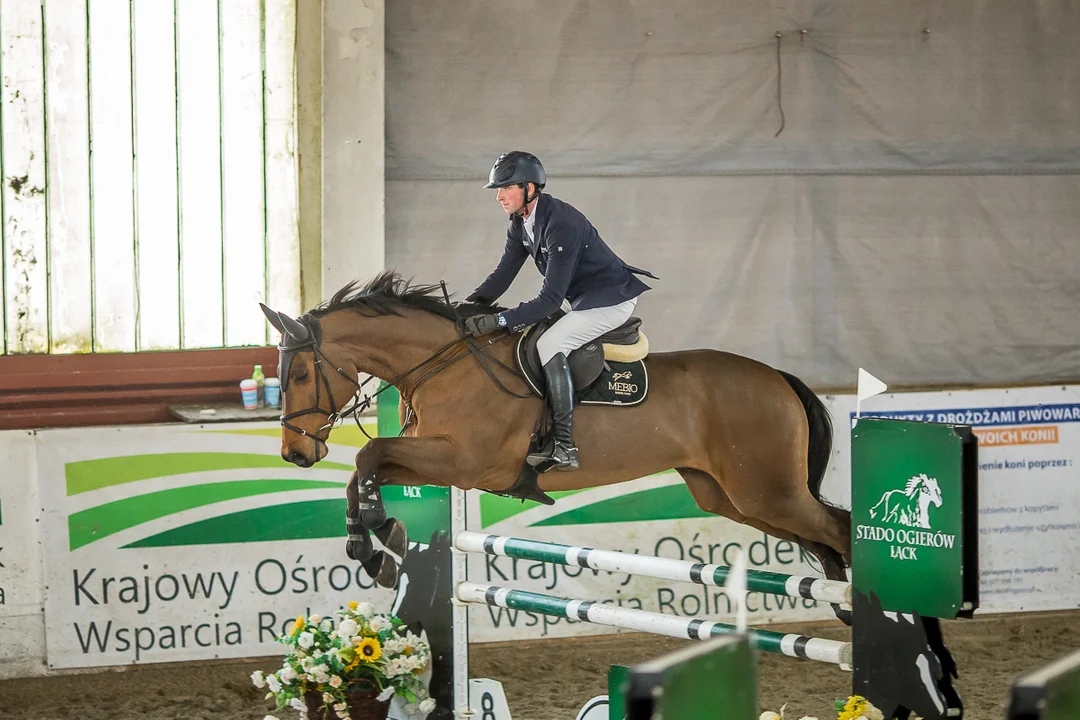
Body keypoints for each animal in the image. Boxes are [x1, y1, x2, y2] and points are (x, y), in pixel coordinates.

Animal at [259, 273, 851, 621]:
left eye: (301, 375)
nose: (294, 454)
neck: (442, 365)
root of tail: (776, 377)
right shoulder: (436, 458)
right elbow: (364, 469)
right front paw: (371, 549)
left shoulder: (465, 462)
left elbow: (368, 456)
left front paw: (385, 534)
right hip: (731, 497)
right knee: (825, 540)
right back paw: (842, 603)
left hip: (767, 491)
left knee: (838, 529)